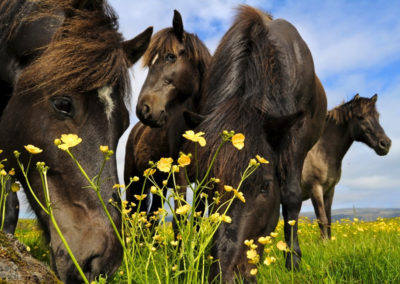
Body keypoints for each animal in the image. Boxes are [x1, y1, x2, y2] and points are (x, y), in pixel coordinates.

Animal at [183, 5, 326, 280]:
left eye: (265, 186)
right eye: (209, 186)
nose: (227, 274)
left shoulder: (297, 134)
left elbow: (291, 196)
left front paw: (293, 261)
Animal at [302, 94, 390, 239]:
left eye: (377, 116)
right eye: (360, 117)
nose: (386, 144)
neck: (320, 153)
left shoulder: (329, 190)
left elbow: (328, 220)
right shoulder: (315, 188)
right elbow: (322, 219)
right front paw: (324, 242)